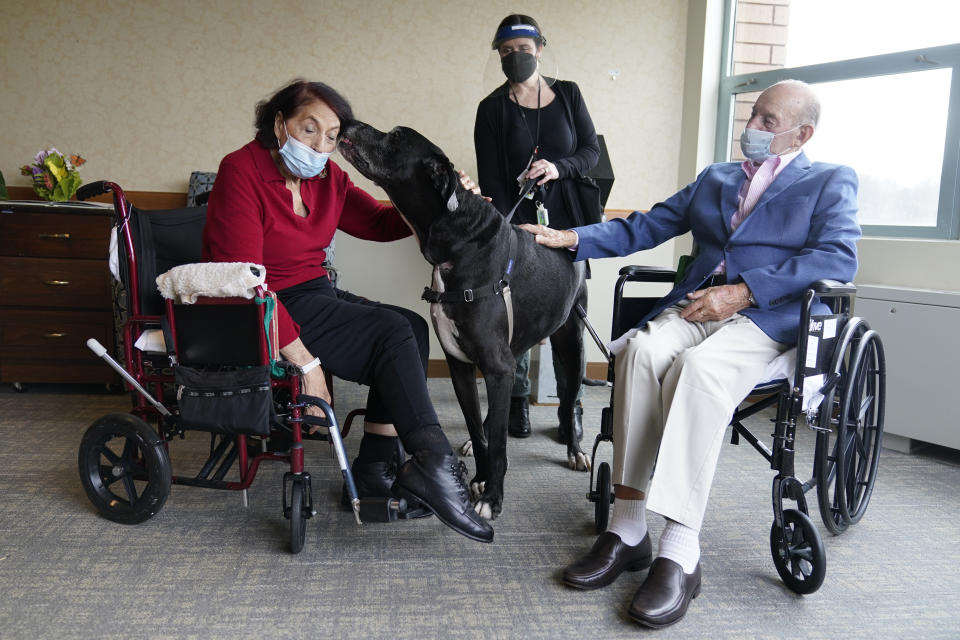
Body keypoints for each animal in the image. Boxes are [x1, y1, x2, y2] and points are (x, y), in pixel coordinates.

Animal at [342, 121, 588, 520]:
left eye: (397, 137)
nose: (348, 123)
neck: (458, 240)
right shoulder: (460, 365)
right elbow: (478, 429)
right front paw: (481, 478)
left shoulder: (498, 366)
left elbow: (500, 443)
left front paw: (492, 498)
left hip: (572, 342)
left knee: (568, 400)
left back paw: (576, 450)